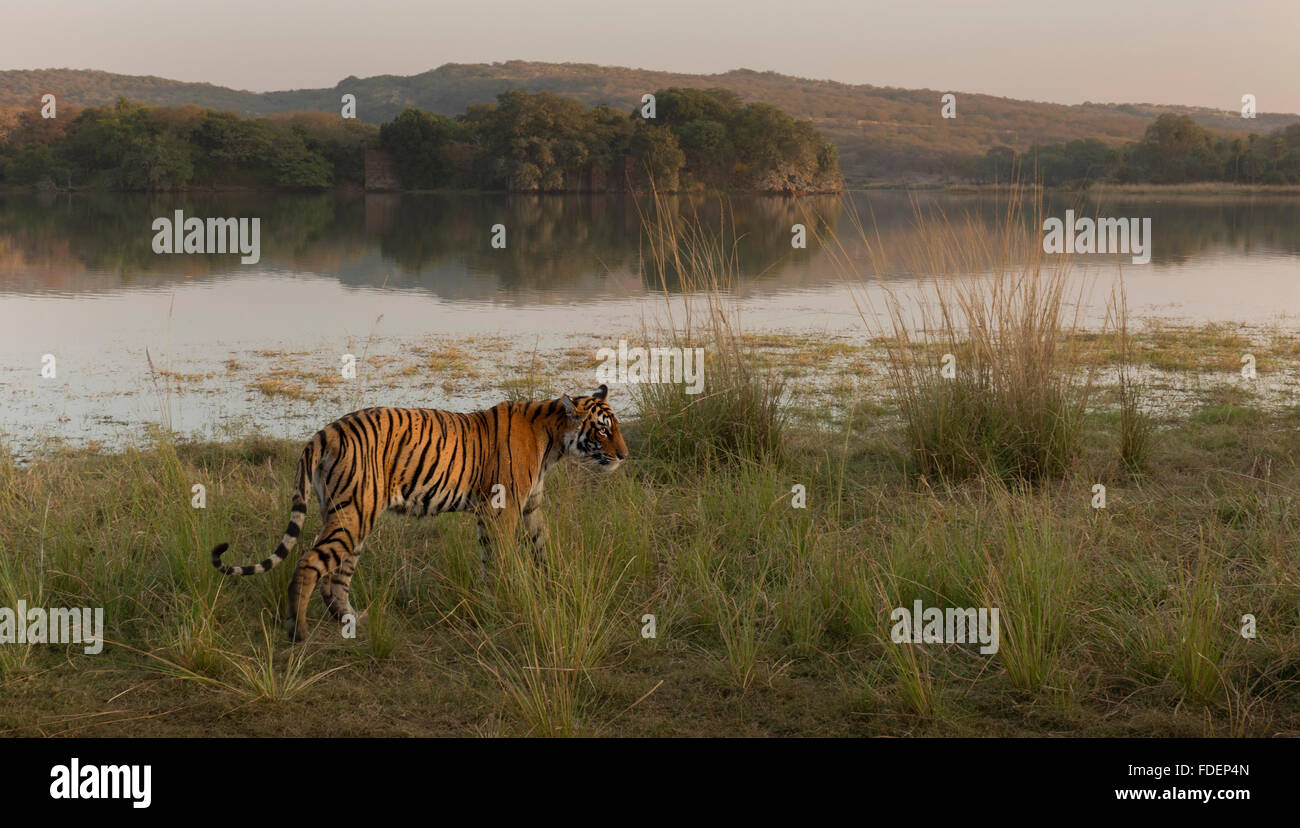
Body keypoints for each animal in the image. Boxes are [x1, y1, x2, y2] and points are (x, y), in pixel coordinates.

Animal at [208, 384, 624, 642]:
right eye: (603, 431)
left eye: (615, 427)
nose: (624, 455)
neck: (553, 440)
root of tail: (325, 431)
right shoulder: (501, 509)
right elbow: (501, 557)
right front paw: (506, 598)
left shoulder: (528, 507)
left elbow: (537, 546)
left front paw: (550, 583)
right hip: (354, 514)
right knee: (310, 564)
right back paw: (298, 632)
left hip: (352, 516)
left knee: (336, 575)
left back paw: (350, 621)